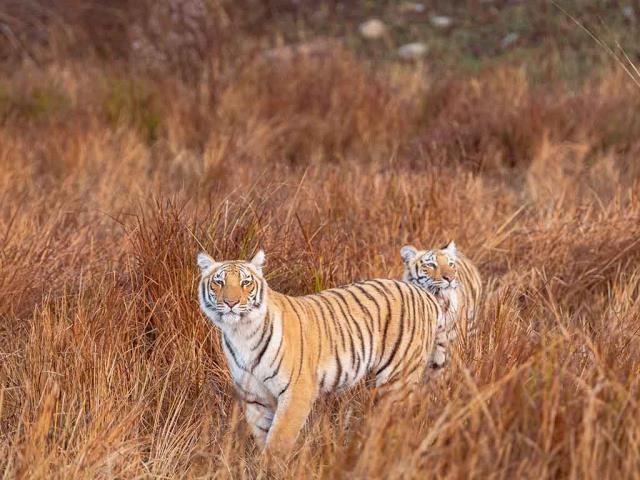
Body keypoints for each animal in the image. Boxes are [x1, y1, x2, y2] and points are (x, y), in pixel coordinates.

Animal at [197, 249, 444, 454]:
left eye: (246, 282)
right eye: (219, 282)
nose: (231, 302)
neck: (241, 332)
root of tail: (424, 294)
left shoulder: (297, 391)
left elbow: (278, 440)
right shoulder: (255, 397)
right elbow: (262, 436)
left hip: (398, 380)